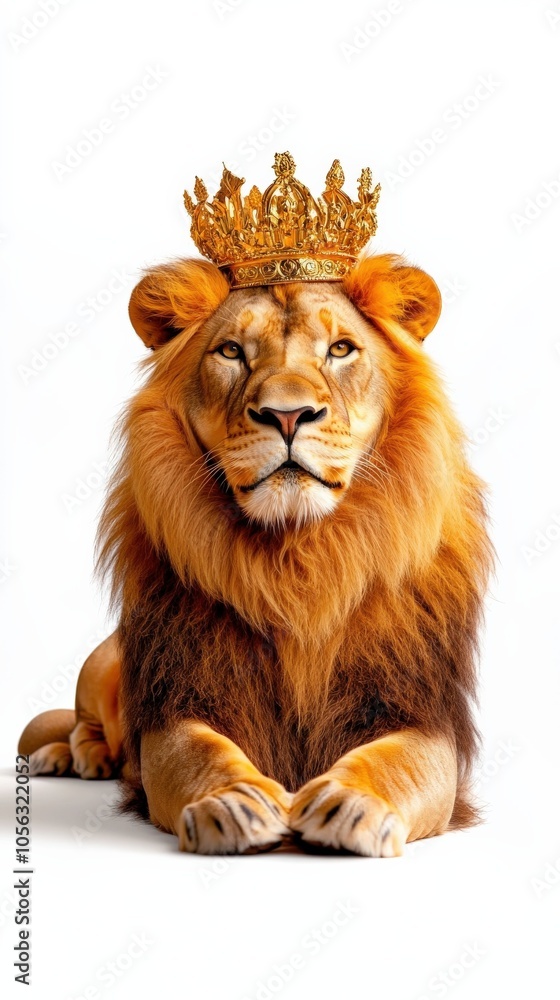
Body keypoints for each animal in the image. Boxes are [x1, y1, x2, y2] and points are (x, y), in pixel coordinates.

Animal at [18, 253, 492, 857]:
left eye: (341, 349)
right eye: (231, 351)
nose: (287, 416)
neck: (294, 553)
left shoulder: (416, 712)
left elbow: (395, 763)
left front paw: (350, 803)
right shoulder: (180, 704)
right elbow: (199, 753)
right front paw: (233, 803)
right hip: (101, 662)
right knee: (82, 724)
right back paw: (77, 756)